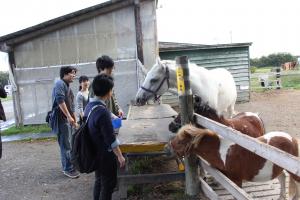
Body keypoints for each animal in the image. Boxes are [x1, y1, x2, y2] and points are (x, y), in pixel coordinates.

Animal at [170, 125, 300, 198]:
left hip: (292, 172)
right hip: (277, 168)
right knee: (282, 178)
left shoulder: (237, 181)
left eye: (181, 141)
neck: (223, 153)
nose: (169, 146)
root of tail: (292, 139)